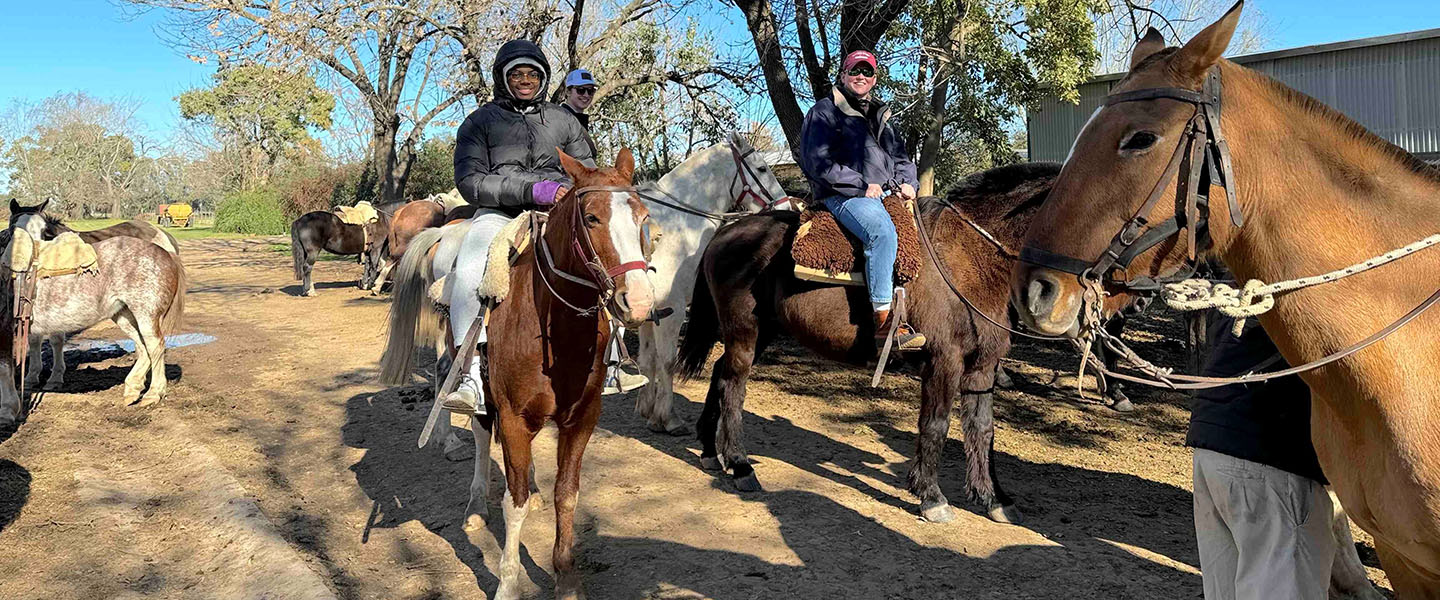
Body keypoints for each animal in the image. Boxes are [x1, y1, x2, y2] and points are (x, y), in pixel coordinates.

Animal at [0, 198, 185, 423]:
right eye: (12, 230)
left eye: (45, 231)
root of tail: (167, 253)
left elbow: (7, 366)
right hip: (124, 315)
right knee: (142, 347)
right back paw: (132, 389)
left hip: (146, 316)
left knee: (155, 346)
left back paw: (153, 394)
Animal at [463, 146, 656, 598]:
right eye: (592, 218)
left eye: (642, 217)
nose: (639, 302)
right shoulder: (513, 419)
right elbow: (512, 503)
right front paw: (508, 583)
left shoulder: (581, 419)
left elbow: (566, 495)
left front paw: (566, 578)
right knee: (480, 437)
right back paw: (476, 504)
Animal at [673, 161, 1059, 520]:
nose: (1050, 296)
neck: (967, 255)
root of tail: (727, 232)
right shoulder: (943, 361)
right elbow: (935, 425)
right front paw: (931, 497)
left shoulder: (982, 367)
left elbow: (983, 429)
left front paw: (994, 499)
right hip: (744, 331)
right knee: (732, 387)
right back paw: (740, 465)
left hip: (761, 331)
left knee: (720, 374)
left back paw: (710, 451)